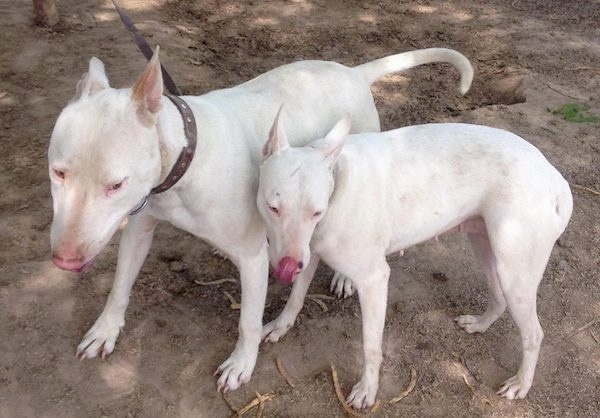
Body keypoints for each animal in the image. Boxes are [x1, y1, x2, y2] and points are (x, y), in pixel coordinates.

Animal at [49, 47, 474, 394]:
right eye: (57, 173)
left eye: (116, 184)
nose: (64, 261)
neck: (187, 158)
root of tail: (353, 71)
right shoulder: (138, 226)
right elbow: (120, 284)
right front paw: (104, 331)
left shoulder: (253, 259)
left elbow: (249, 322)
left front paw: (241, 365)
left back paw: (342, 277)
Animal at [256, 111, 572, 408]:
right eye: (273, 208)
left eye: (316, 212)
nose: (287, 266)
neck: (337, 182)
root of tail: (555, 178)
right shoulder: (308, 254)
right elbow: (296, 297)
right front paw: (280, 326)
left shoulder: (374, 280)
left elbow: (371, 345)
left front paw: (368, 390)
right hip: (487, 249)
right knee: (499, 298)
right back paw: (480, 325)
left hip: (515, 273)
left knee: (533, 334)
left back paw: (521, 384)